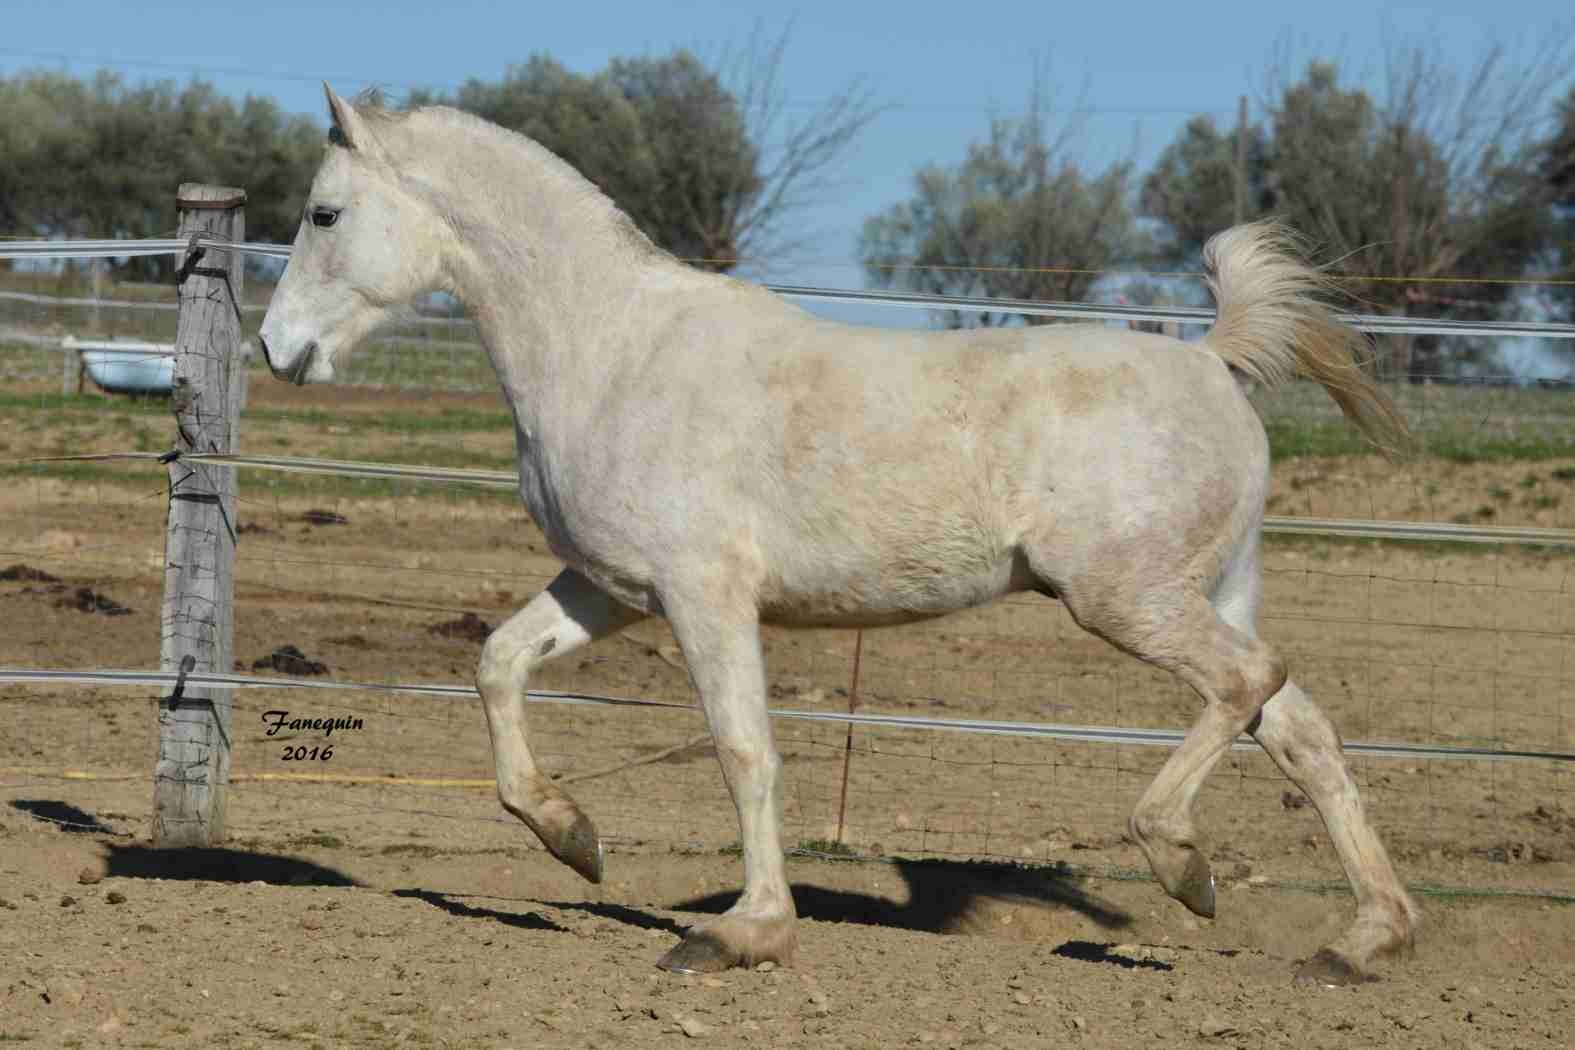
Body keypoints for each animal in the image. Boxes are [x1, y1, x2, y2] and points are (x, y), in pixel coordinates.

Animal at [264, 86, 1423, 982]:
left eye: (324, 212)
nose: (277, 350)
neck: (613, 351)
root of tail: (1213, 361)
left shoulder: (703, 594)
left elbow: (744, 749)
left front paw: (742, 934)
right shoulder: (610, 588)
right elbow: (499, 666)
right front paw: (573, 841)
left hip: (1125, 599)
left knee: (1246, 687)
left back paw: (1180, 861)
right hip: (1206, 592)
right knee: (1299, 727)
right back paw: (1359, 943)